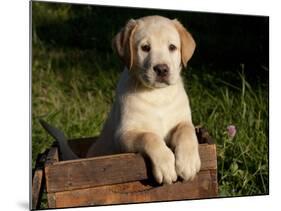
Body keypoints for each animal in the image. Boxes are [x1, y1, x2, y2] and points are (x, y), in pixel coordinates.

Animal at [86, 16, 200, 185]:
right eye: (145, 48)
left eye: (172, 47)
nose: (161, 69)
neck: (157, 94)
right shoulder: (124, 134)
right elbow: (149, 136)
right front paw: (166, 166)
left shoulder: (182, 120)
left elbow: (187, 130)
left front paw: (188, 163)